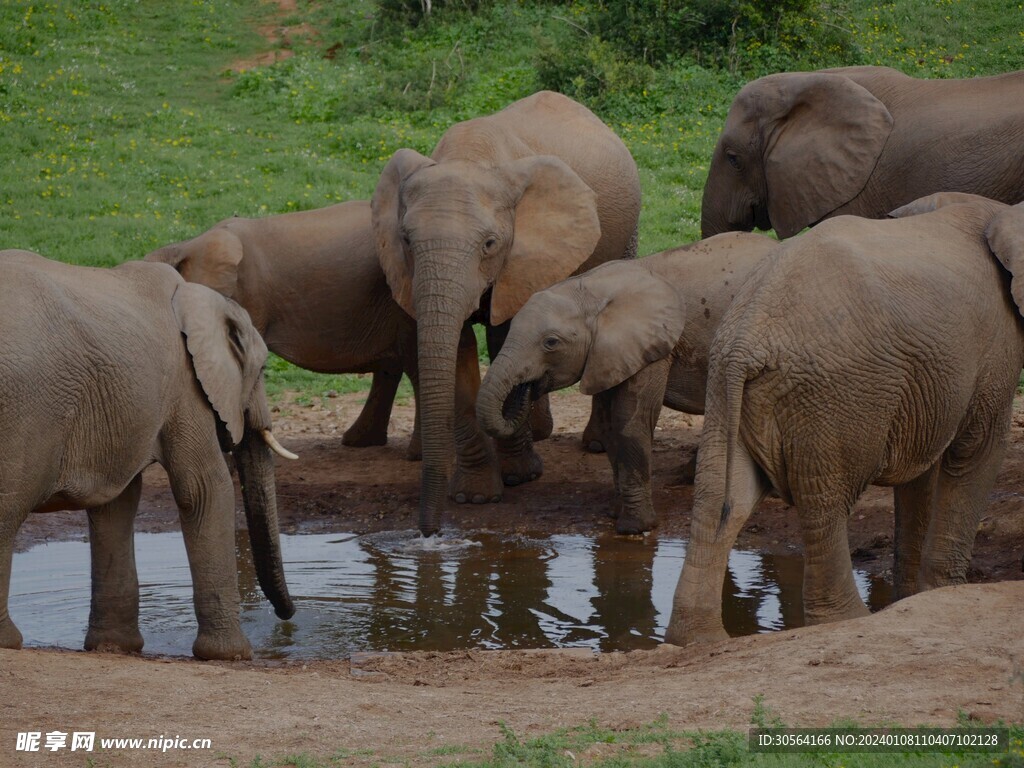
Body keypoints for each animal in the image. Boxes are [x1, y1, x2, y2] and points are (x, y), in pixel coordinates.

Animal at [0, 250, 297, 660]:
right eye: (264, 368)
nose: (287, 618)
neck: (199, 296)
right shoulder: (186, 386)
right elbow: (204, 487)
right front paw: (232, 655)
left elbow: (117, 503)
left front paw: (114, 648)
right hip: (23, 409)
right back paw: (9, 641)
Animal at [372, 89, 642, 536]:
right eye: (407, 240)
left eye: (490, 244)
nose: (430, 534)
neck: (470, 157)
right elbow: (459, 351)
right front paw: (475, 497)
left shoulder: (525, 257)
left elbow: (506, 336)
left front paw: (520, 476)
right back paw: (539, 430)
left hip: (626, 231)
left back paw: (592, 443)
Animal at [477, 232, 779, 534]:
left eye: (551, 343)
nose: (526, 387)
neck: (589, 289)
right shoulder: (608, 354)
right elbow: (611, 424)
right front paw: (615, 513)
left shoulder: (653, 348)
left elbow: (630, 421)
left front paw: (635, 527)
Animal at [665, 195, 1024, 646]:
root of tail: (747, 337)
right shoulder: (996, 349)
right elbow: (976, 454)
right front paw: (939, 595)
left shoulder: (925, 380)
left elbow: (920, 474)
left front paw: (909, 599)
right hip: (833, 396)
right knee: (828, 501)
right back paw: (847, 619)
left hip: (726, 385)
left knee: (722, 495)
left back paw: (699, 639)